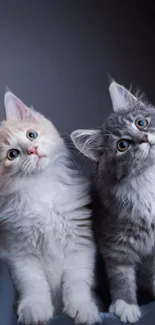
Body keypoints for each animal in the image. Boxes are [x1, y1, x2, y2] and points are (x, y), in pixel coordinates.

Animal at [71, 80, 155, 322]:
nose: (144, 138)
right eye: (123, 145)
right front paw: (125, 305)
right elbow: (122, 277)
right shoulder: (115, 242)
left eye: (141, 123)